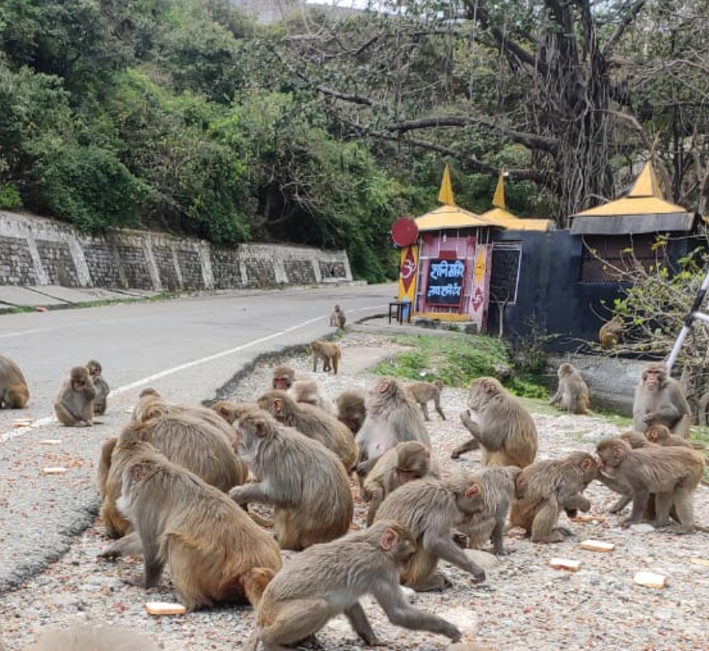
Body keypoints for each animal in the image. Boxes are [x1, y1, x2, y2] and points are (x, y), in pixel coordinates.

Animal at [99, 446, 282, 611]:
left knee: (173, 541)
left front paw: (145, 582)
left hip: (213, 571)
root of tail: (249, 568)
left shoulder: (143, 499)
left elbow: (152, 545)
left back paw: (191, 602)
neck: (157, 470)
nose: (123, 487)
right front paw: (112, 549)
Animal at [228, 410, 354, 550]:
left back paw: (282, 542)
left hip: (297, 534)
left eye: (238, 434)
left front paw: (239, 493)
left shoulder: (278, 462)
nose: (232, 444)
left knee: (285, 506)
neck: (267, 443)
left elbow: (284, 494)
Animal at [243, 520, 461, 651]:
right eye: (408, 556)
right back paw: (272, 641)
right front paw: (447, 627)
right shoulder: (382, 568)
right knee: (321, 607)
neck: (372, 544)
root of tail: (262, 612)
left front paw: (370, 638)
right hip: (278, 612)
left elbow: (351, 604)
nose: (405, 567)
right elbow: (398, 613)